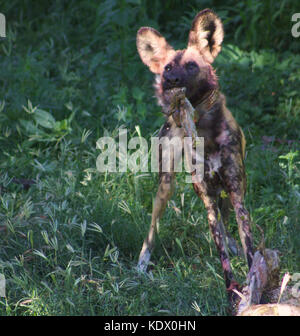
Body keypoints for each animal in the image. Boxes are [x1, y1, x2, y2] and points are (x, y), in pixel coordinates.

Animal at [137, 8, 255, 302]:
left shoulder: (236, 195)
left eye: (191, 66)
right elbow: (223, 259)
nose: (170, 81)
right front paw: (232, 292)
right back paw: (142, 263)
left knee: (226, 223)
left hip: (227, 193)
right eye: (167, 67)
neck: (205, 130)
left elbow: (250, 250)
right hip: (166, 185)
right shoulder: (207, 198)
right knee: (153, 227)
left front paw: (254, 287)